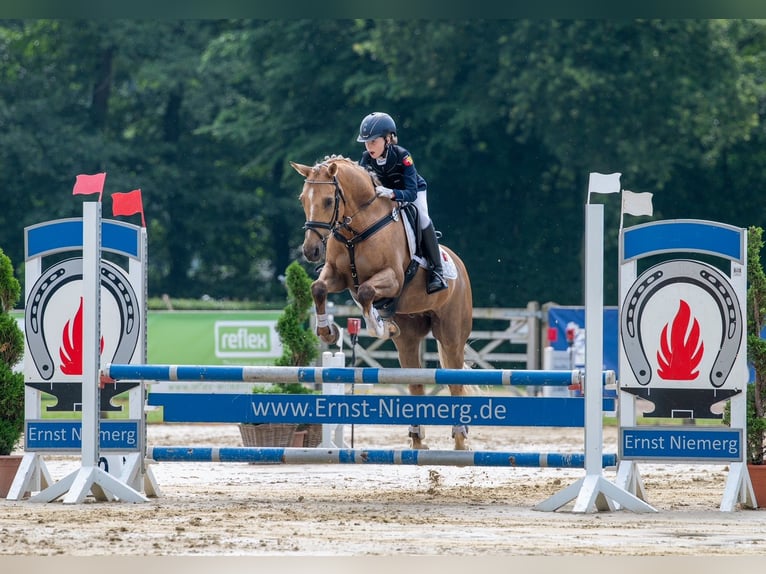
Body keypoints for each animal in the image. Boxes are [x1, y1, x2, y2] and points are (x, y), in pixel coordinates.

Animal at [292, 156, 476, 450]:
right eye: (302, 199)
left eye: (329, 201)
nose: (311, 251)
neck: (356, 227)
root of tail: (458, 264)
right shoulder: (336, 275)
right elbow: (318, 288)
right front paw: (327, 331)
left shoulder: (393, 278)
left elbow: (366, 292)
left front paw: (379, 326)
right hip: (409, 338)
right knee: (415, 383)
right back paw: (417, 440)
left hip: (451, 335)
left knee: (455, 382)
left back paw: (459, 441)